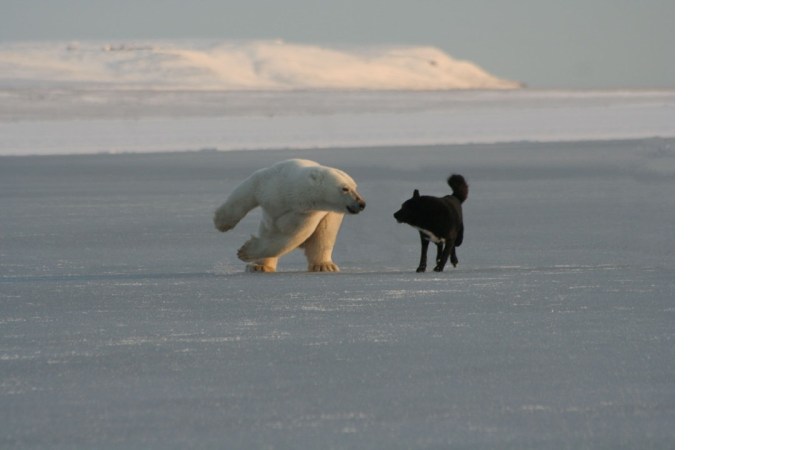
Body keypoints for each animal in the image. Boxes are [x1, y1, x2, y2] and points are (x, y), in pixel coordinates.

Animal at [212, 158, 362, 270]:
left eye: (355, 187)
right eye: (345, 188)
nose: (362, 204)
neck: (296, 193)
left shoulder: (306, 214)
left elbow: (289, 237)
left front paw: (244, 251)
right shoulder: (273, 183)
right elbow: (248, 191)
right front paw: (221, 223)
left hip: (331, 216)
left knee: (324, 236)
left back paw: (324, 266)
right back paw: (259, 266)